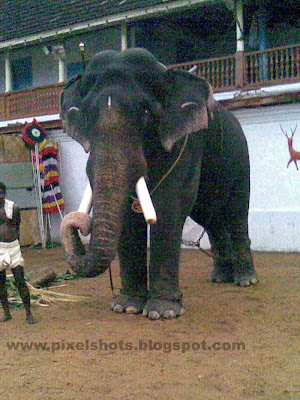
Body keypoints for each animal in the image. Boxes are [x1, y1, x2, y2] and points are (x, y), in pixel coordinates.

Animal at [59, 48, 258, 320]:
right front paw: (126, 307)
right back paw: (219, 278)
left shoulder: (185, 142)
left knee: (236, 212)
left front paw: (162, 313)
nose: (80, 224)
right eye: (87, 116)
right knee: (211, 218)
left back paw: (246, 280)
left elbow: (168, 204)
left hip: (239, 155)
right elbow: (129, 215)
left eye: (145, 114)